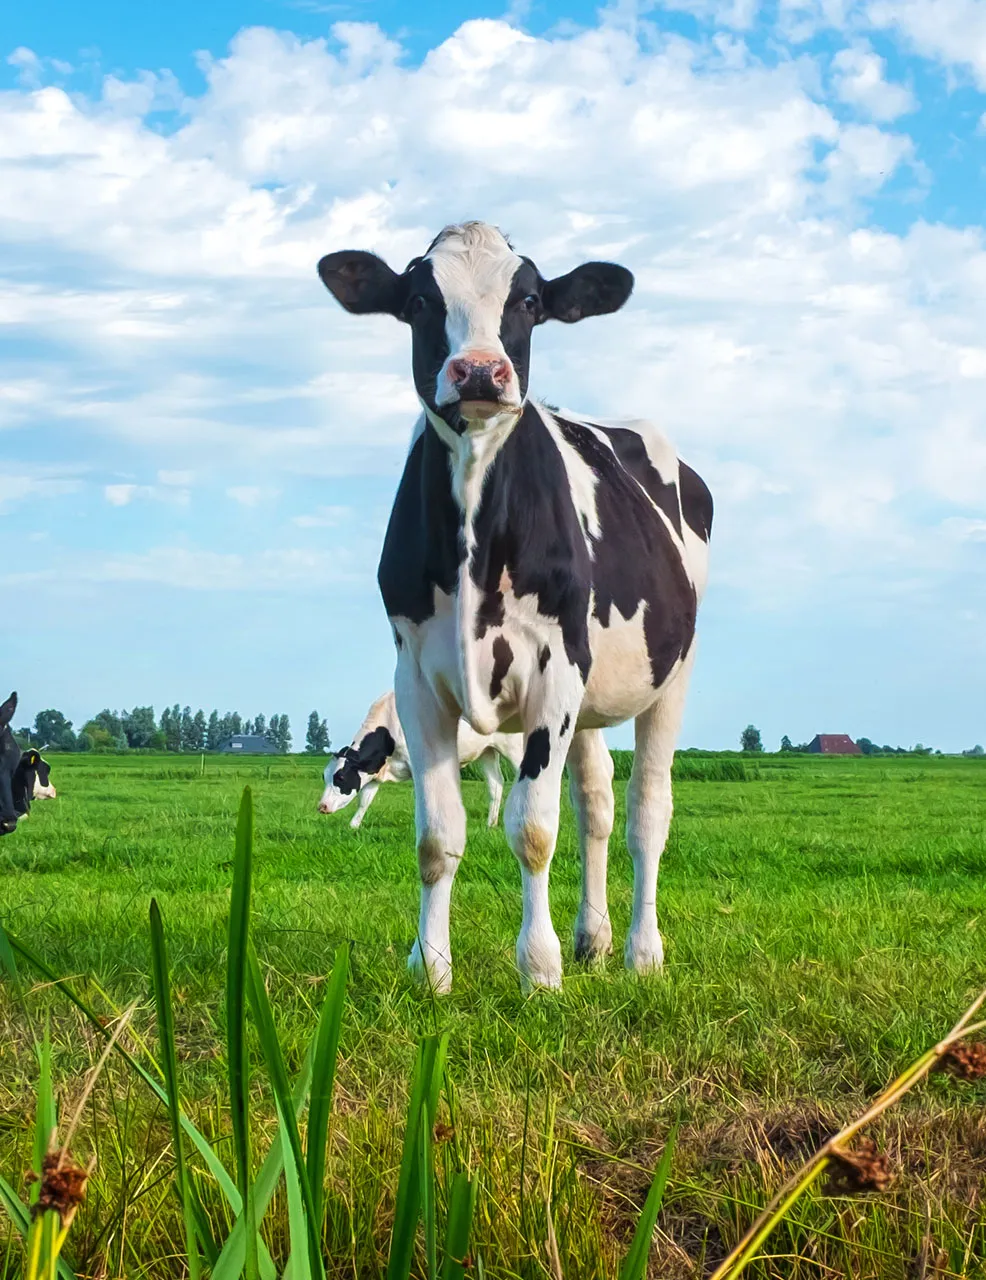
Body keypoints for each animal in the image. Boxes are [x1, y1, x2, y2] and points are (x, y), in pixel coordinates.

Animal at [318, 690, 523, 829]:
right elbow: (365, 800)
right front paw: (353, 825)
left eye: (340, 777)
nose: (322, 806)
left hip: (514, 747)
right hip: (487, 751)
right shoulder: (375, 770)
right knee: (495, 784)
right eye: (324, 777)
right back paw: (491, 825)